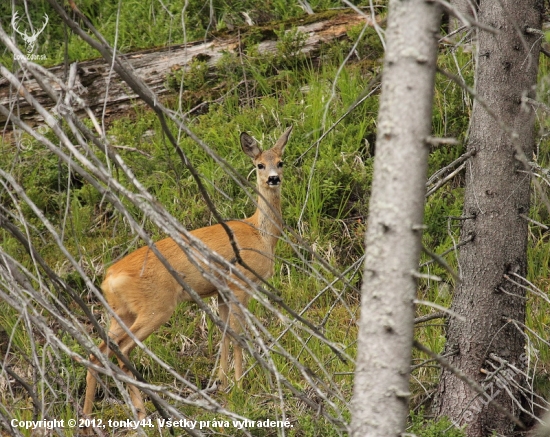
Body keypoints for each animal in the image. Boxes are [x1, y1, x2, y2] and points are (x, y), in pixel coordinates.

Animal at [83, 125, 294, 418]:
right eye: (260, 164)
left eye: (281, 162)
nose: (273, 178)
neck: (261, 235)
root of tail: (109, 278)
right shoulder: (239, 284)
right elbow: (239, 336)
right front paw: (241, 387)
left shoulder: (220, 292)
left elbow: (225, 335)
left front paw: (223, 384)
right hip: (156, 306)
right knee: (123, 350)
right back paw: (143, 411)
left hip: (121, 312)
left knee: (97, 352)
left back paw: (87, 417)